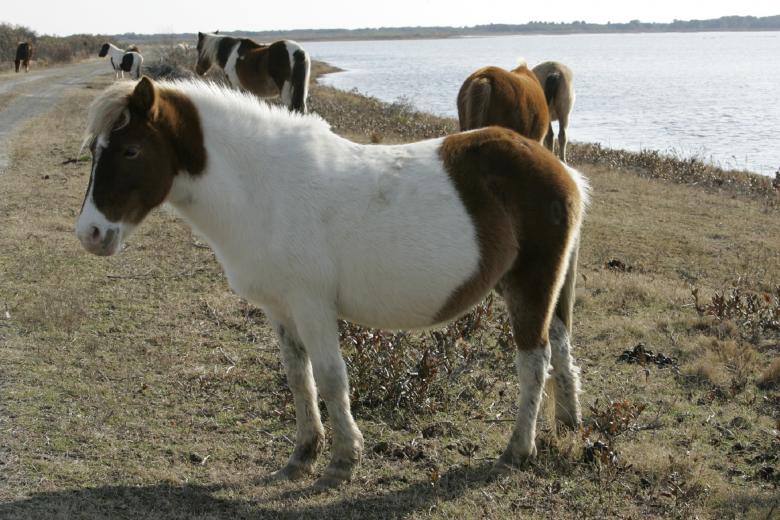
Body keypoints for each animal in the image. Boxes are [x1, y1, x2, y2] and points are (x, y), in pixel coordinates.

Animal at [75, 77, 588, 488]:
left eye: (130, 150)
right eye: (96, 151)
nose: (90, 233)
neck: (264, 187)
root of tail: (561, 171)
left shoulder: (312, 306)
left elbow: (330, 377)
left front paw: (343, 461)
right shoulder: (281, 309)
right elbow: (298, 378)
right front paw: (302, 455)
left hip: (530, 287)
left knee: (534, 362)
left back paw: (518, 451)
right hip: (540, 289)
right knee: (562, 348)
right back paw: (569, 425)